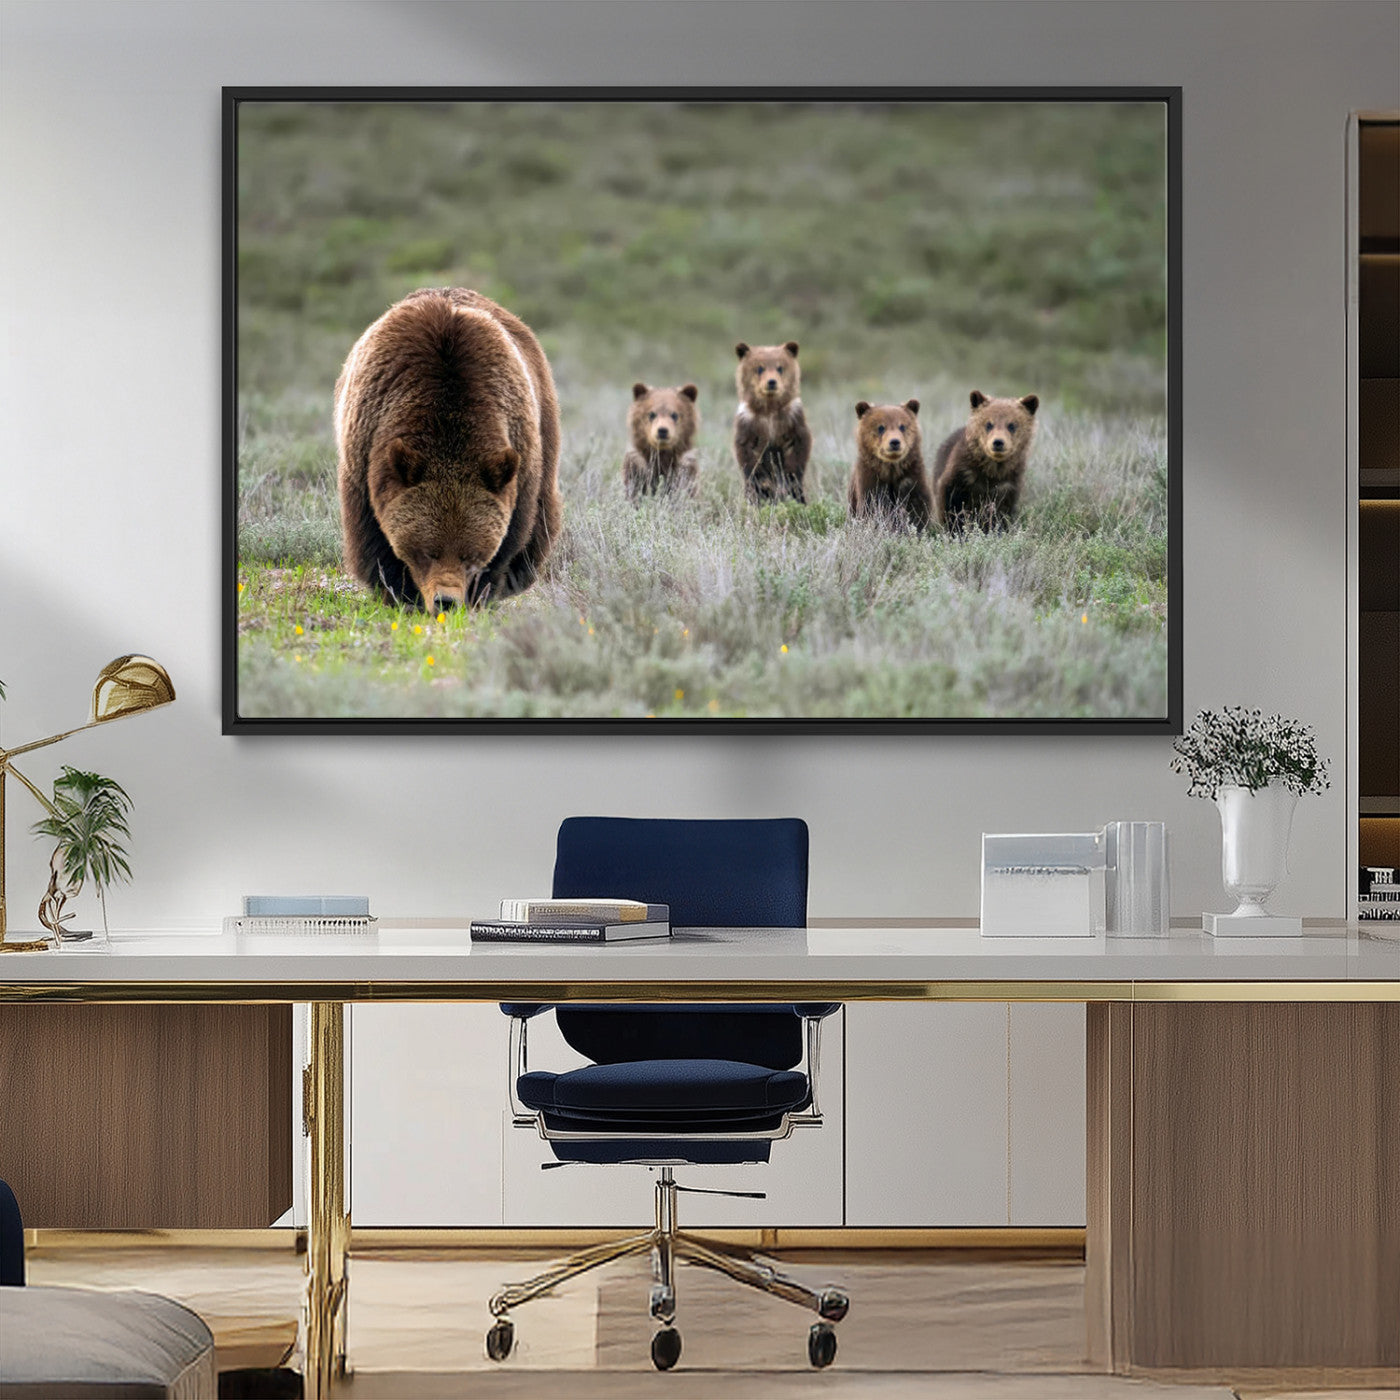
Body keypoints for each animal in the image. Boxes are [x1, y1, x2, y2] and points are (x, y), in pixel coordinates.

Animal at [334, 286, 562, 610]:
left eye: (470, 554)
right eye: (428, 551)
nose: (446, 600)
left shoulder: (519, 454)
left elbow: (513, 534)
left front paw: (482, 593)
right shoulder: (366, 449)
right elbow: (372, 535)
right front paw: (399, 592)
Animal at [732, 341, 812, 503]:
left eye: (780, 367)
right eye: (759, 368)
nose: (771, 382)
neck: (769, 411)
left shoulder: (792, 419)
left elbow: (798, 448)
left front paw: (789, 479)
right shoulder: (749, 423)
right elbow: (747, 454)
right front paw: (764, 484)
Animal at [847, 399, 932, 530]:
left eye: (902, 426)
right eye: (881, 427)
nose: (895, 442)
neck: (891, 469)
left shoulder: (911, 476)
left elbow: (917, 508)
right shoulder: (870, 480)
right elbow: (871, 507)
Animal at [932, 390, 1039, 532]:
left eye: (1011, 425)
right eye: (989, 424)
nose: (998, 442)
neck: (991, 471)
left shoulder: (1008, 483)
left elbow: (1002, 512)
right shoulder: (961, 475)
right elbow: (951, 504)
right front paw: (955, 529)